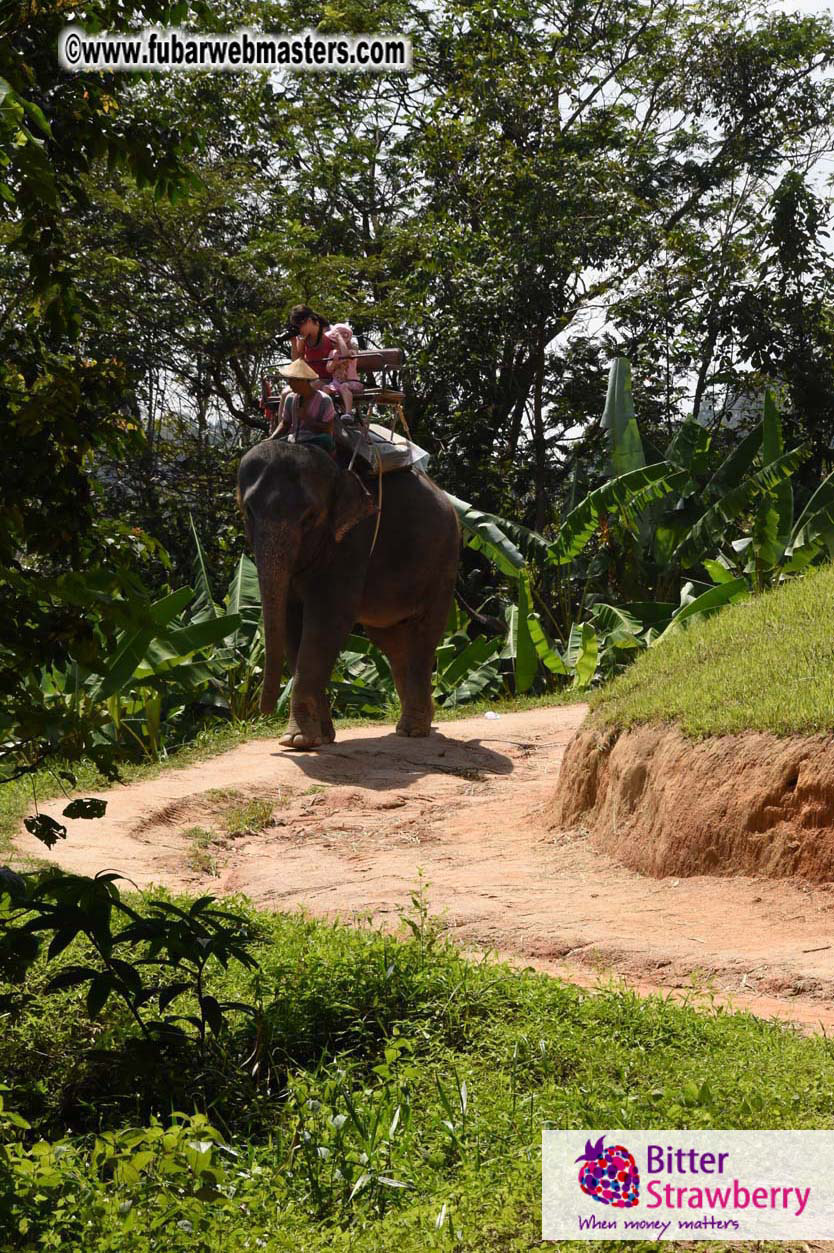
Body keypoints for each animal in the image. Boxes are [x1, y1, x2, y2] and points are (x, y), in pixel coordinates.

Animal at [237, 438, 460, 749]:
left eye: (309, 518)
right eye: (249, 511)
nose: (263, 710)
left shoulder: (354, 541)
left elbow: (328, 621)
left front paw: (297, 740)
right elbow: (293, 623)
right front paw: (318, 737)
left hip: (444, 563)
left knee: (424, 634)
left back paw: (414, 730)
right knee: (391, 641)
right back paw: (417, 722)